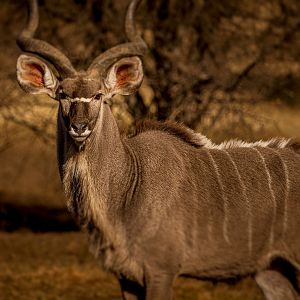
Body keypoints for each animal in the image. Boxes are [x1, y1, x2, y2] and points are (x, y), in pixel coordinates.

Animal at [15, 0, 300, 300]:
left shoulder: (161, 271)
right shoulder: (127, 278)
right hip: (271, 270)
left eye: (99, 95)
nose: (79, 127)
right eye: (62, 94)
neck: (129, 183)